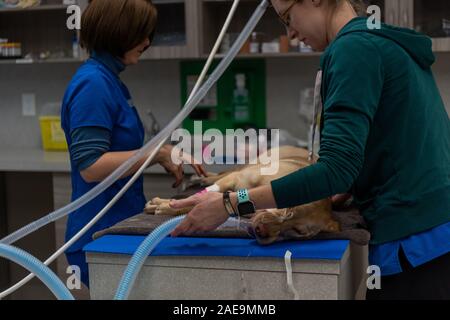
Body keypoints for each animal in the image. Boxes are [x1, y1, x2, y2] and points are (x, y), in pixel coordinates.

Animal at [146, 146, 340, 244]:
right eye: (287, 210)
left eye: (298, 231)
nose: (262, 232)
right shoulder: (234, 179)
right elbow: (195, 199)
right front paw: (163, 204)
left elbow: (197, 205)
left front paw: (165, 206)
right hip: (249, 164)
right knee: (218, 175)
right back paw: (197, 178)